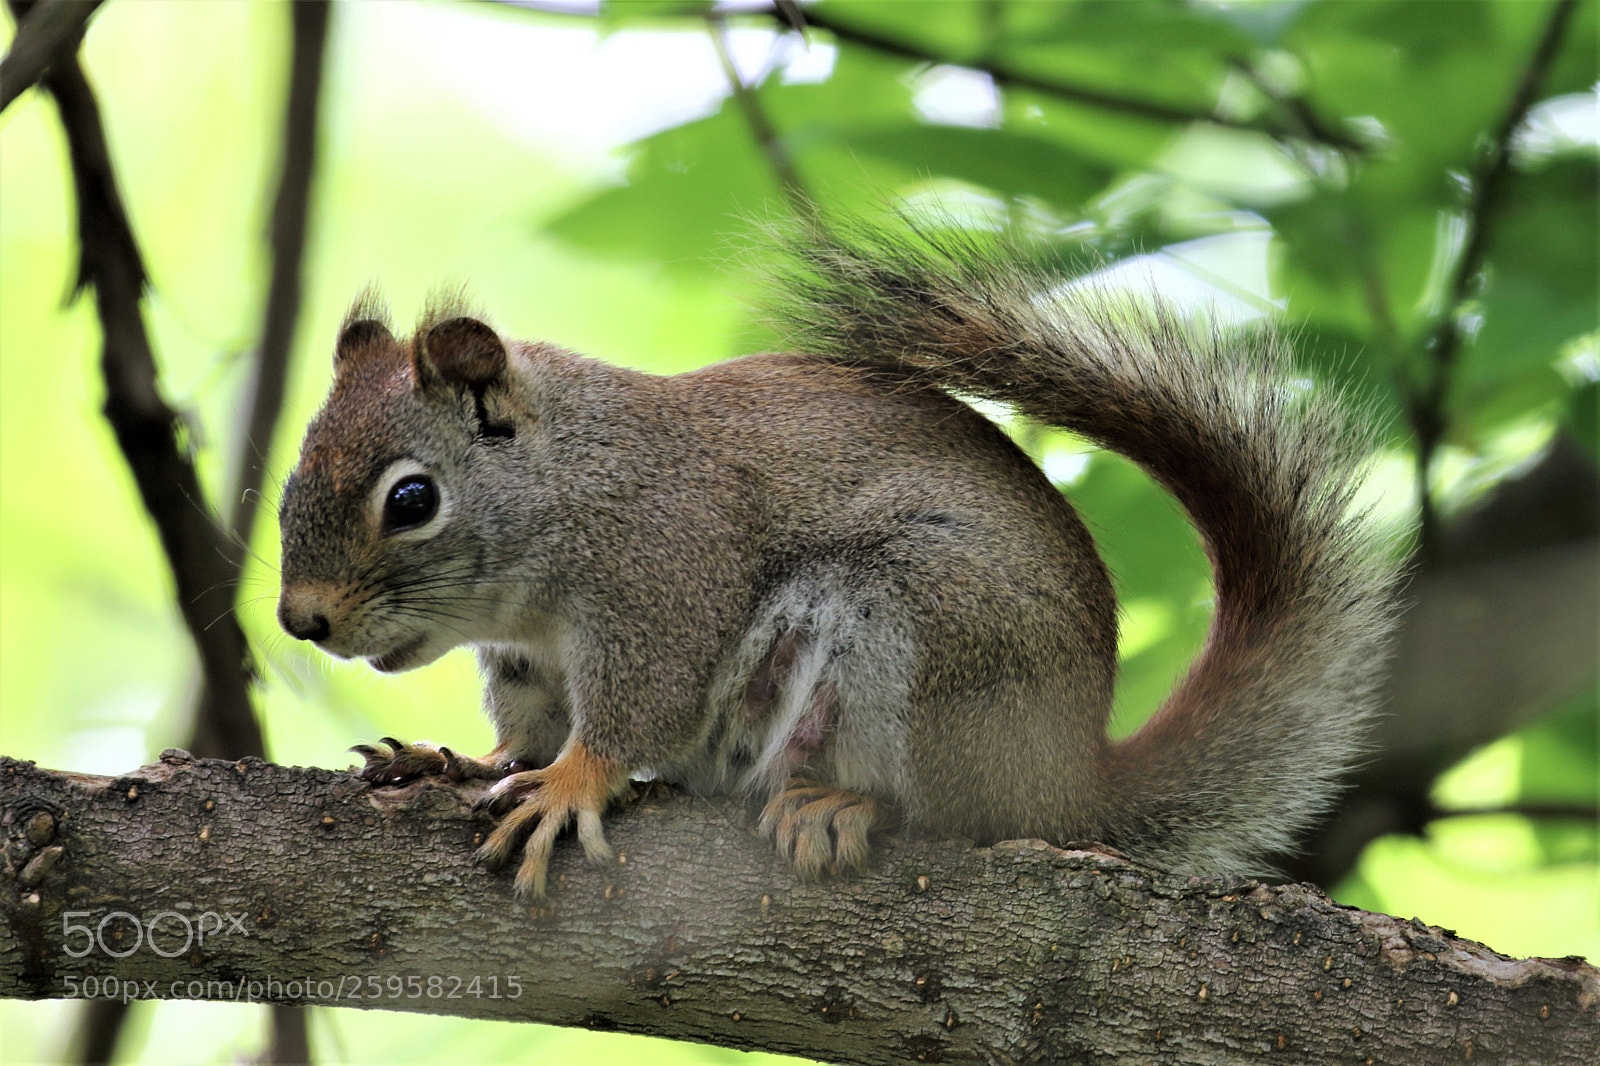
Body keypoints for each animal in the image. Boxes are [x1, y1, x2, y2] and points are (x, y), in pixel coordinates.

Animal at [277, 220, 1398, 903]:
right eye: (289, 478)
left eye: (412, 500)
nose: (301, 620)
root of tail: (1067, 777)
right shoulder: (527, 663)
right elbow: (523, 735)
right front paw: (458, 760)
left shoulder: (665, 577)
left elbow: (634, 712)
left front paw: (568, 788)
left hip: (923, 626)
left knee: (952, 815)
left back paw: (842, 804)